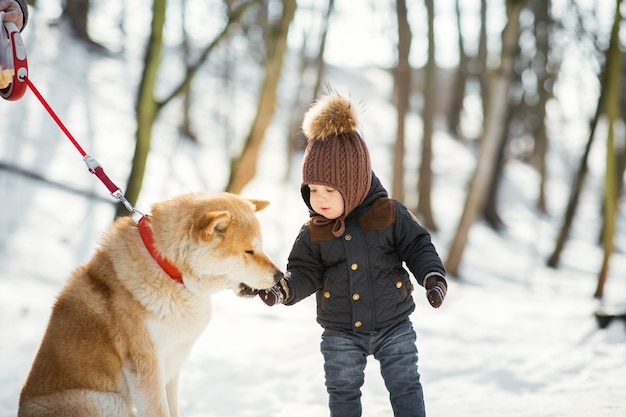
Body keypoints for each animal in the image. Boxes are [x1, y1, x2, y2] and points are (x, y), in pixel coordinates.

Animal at [18, 192, 282, 416]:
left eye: (260, 247)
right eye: (249, 251)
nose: (280, 275)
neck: (169, 271)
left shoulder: (172, 368)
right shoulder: (147, 370)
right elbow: (160, 411)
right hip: (105, 400)